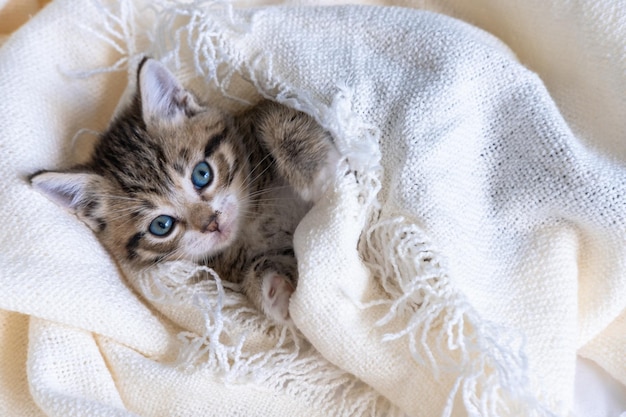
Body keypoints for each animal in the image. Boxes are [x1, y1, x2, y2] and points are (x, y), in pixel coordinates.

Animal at [31, 58, 338, 324]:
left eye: (202, 174)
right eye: (161, 225)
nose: (212, 223)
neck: (252, 220)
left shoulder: (262, 110)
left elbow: (275, 113)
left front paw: (319, 173)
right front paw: (273, 291)